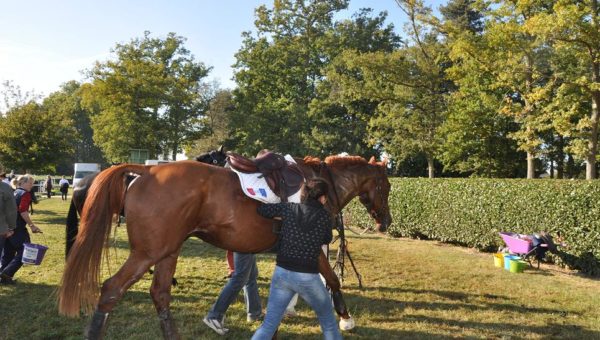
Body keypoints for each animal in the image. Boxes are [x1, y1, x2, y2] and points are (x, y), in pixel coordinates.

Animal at [58, 155, 392, 338]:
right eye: (387, 186)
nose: (386, 221)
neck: (320, 184)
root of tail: (147, 170)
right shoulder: (310, 246)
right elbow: (332, 280)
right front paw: (345, 317)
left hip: (168, 251)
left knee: (160, 294)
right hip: (147, 253)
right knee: (112, 290)